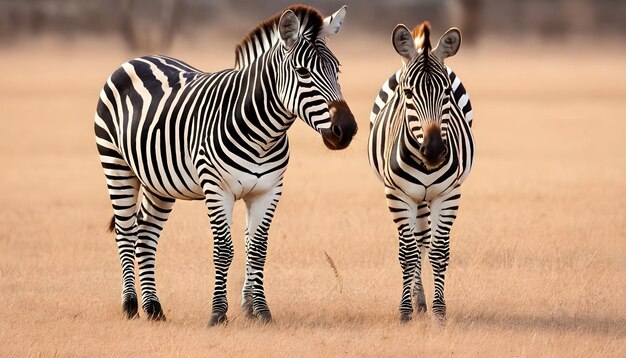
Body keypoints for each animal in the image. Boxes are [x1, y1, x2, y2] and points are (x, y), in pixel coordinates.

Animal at [93, 4, 356, 326]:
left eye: (337, 69)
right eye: (302, 72)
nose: (347, 129)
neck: (262, 133)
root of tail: (138, 59)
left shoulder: (268, 191)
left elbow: (257, 249)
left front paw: (262, 312)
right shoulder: (217, 189)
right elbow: (224, 249)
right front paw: (218, 313)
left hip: (159, 182)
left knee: (145, 235)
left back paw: (154, 308)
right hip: (116, 165)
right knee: (125, 231)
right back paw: (130, 306)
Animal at [366, 21, 472, 322]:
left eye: (446, 92)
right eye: (409, 94)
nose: (434, 150)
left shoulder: (448, 195)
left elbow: (438, 251)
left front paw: (439, 310)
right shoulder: (397, 196)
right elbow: (407, 253)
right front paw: (404, 311)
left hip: (427, 198)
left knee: (423, 239)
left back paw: (422, 301)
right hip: (412, 198)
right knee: (413, 241)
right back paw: (415, 300)